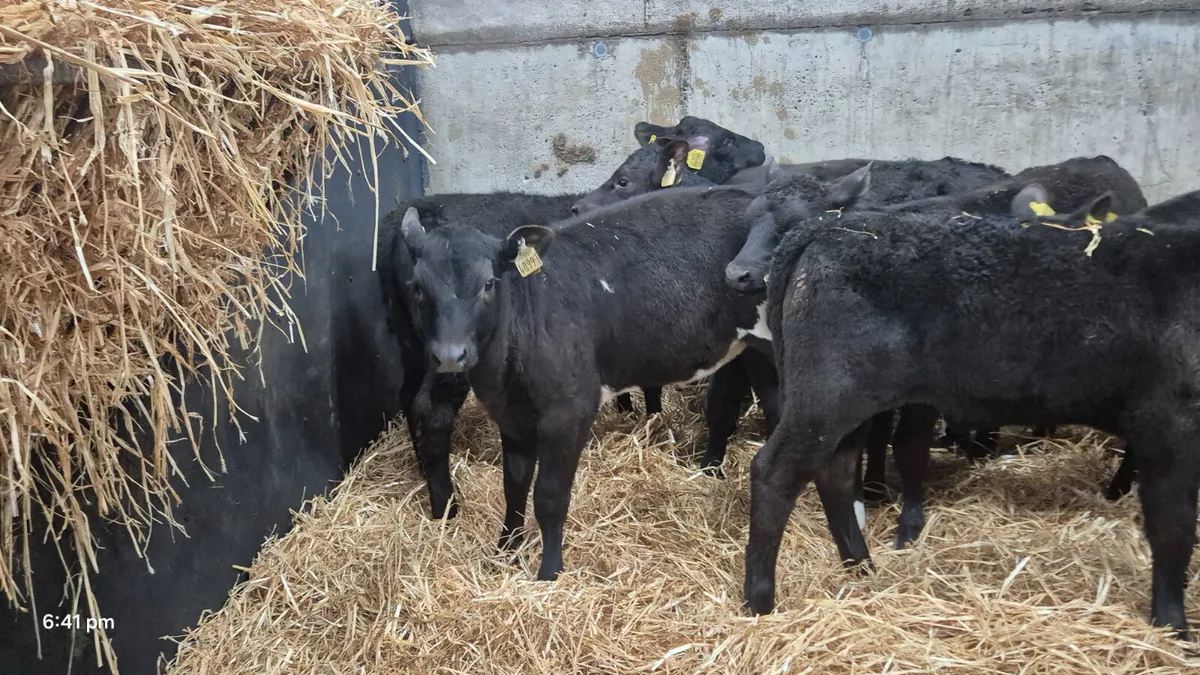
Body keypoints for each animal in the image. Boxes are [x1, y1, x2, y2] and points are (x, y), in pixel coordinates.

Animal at [394, 184, 767, 581]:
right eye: (417, 287)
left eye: (488, 283)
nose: (450, 355)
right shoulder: (512, 417)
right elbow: (514, 486)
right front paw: (505, 552)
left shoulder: (569, 413)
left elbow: (549, 496)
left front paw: (549, 572)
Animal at [745, 188, 1200, 637]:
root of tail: (830, 224)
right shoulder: (1169, 420)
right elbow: (1174, 525)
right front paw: (1172, 624)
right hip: (829, 394)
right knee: (775, 472)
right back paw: (760, 602)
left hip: (850, 403)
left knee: (835, 471)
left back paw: (862, 569)